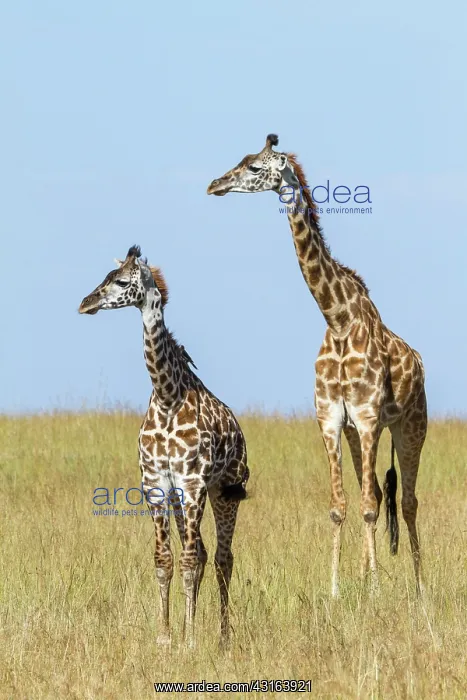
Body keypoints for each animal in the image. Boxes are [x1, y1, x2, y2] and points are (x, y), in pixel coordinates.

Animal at [79, 245, 249, 647]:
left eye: (120, 281)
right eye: (104, 277)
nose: (85, 303)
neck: (168, 396)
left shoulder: (193, 482)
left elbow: (186, 562)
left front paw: (190, 640)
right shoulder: (157, 484)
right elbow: (164, 560)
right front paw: (166, 636)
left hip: (225, 491)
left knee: (223, 558)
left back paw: (223, 637)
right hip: (184, 497)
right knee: (202, 552)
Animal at [207, 135, 427, 596]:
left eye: (255, 167)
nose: (216, 184)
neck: (338, 318)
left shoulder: (366, 417)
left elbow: (367, 506)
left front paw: (374, 591)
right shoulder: (331, 419)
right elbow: (341, 506)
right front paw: (338, 589)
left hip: (410, 425)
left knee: (408, 500)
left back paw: (418, 587)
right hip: (361, 433)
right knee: (377, 493)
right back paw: (365, 573)